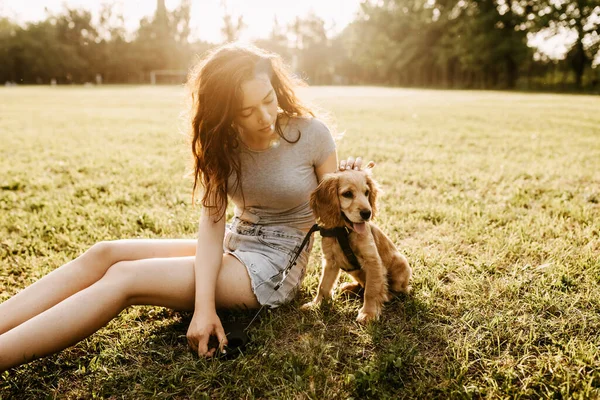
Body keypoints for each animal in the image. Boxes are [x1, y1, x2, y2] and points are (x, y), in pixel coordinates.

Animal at [302, 164, 410, 324]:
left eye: (366, 192)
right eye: (347, 194)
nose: (367, 213)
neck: (344, 231)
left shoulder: (372, 261)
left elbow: (371, 290)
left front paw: (368, 313)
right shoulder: (330, 261)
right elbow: (323, 285)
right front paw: (315, 304)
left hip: (401, 263)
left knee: (397, 290)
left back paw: (386, 294)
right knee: (362, 285)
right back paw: (349, 287)